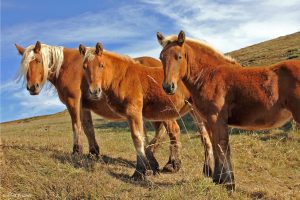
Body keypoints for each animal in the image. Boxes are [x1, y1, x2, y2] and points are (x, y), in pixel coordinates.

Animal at [14, 41, 190, 172]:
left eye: (37, 61)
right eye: (25, 65)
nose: (32, 87)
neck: (68, 66)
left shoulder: (73, 101)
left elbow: (76, 126)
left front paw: (76, 152)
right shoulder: (84, 106)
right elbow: (88, 129)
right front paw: (93, 153)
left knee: (172, 131)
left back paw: (170, 164)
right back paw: (153, 159)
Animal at [77, 43, 212, 180]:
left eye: (101, 65)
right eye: (84, 67)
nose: (94, 91)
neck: (123, 77)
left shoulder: (133, 112)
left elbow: (137, 138)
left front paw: (140, 171)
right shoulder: (139, 115)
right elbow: (143, 138)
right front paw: (150, 168)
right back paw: (205, 169)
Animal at [157, 30, 300, 191]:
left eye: (179, 56)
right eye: (161, 57)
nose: (168, 87)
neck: (210, 76)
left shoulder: (216, 119)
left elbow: (222, 146)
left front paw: (229, 183)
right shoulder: (208, 121)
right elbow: (215, 146)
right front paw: (217, 179)